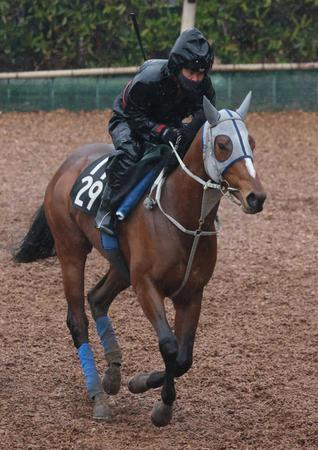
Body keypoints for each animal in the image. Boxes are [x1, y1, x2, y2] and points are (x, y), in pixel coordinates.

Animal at [13, 94, 266, 426]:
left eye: (251, 141)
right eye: (223, 144)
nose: (256, 197)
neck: (183, 217)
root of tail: (66, 165)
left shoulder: (192, 293)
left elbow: (184, 358)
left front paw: (142, 384)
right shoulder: (146, 285)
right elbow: (169, 347)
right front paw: (159, 405)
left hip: (121, 265)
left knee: (97, 298)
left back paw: (112, 376)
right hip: (71, 250)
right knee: (77, 319)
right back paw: (98, 397)